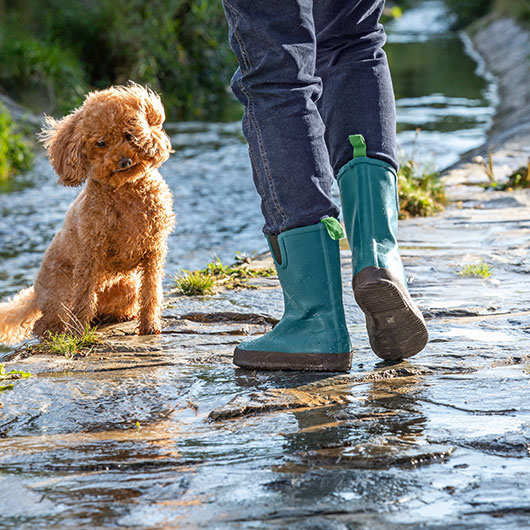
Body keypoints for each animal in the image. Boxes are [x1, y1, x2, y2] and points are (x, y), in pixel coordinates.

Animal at [0, 82, 176, 342]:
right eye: (101, 143)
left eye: (129, 134)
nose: (124, 162)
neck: (125, 190)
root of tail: (35, 294)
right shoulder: (90, 253)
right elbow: (83, 297)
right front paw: (77, 334)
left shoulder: (154, 250)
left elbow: (151, 291)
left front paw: (149, 325)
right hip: (62, 291)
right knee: (43, 322)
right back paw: (59, 330)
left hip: (127, 285)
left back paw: (120, 315)